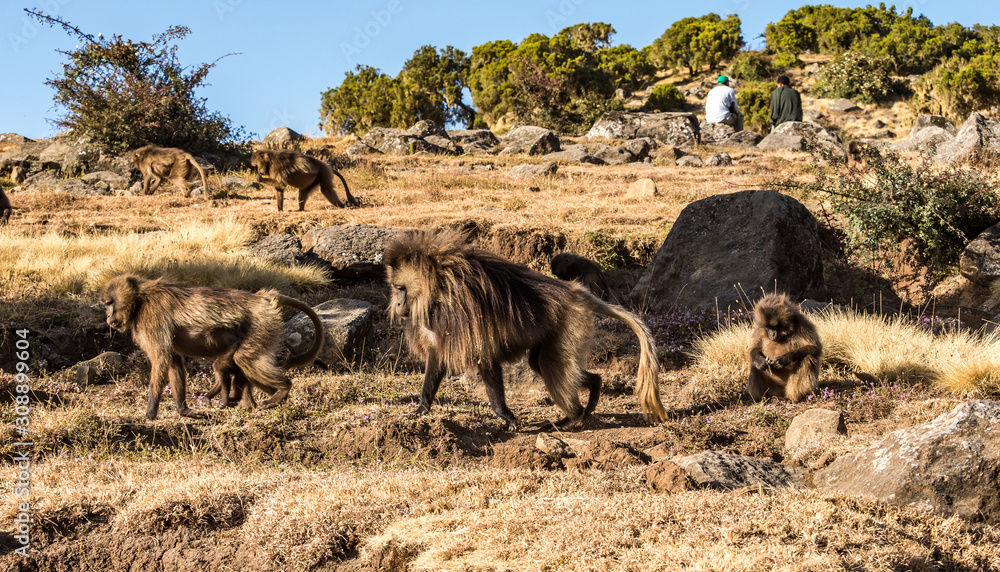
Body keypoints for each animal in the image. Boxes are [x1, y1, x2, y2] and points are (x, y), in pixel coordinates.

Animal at [99, 274, 324, 420]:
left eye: (110, 303)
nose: (108, 318)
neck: (139, 299)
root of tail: (261, 298)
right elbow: (173, 360)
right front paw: (183, 409)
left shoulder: (153, 317)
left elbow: (161, 359)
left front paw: (150, 413)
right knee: (243, 365)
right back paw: (261, 403)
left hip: (261, 324)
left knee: (244, 359)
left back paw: (282, 389)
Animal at [383, 229, 667, 431]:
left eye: (401, 288)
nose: (398, 305)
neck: (438, 285)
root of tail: (575, 291)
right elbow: (437, 358)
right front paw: (421, 409)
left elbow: (484, 357)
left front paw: (506, 416)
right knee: (543, 363)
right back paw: (592, 392)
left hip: (569, 321)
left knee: (550, 362)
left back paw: (571, 418)